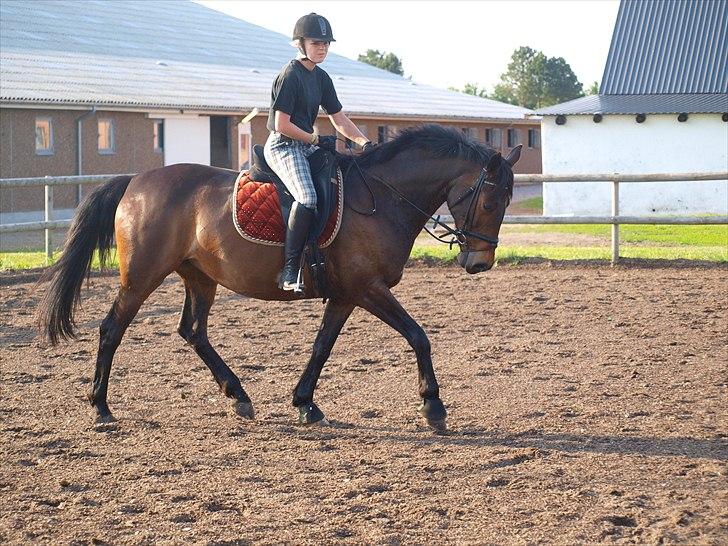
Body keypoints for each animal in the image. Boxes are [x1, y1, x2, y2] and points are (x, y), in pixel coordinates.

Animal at [37, 124, 520, 430]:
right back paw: (100, 408)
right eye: (490, 201)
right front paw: (433, 407)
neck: (381, 197)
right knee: (112, 328)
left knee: (193, 331)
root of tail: (136, 181)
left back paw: (238, 396)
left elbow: (322, 346)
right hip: (141, 276)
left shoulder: (346, 294)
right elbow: (419, 336)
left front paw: (305, 403)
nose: (479, 263)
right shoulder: (368, 288)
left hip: (200, 277)